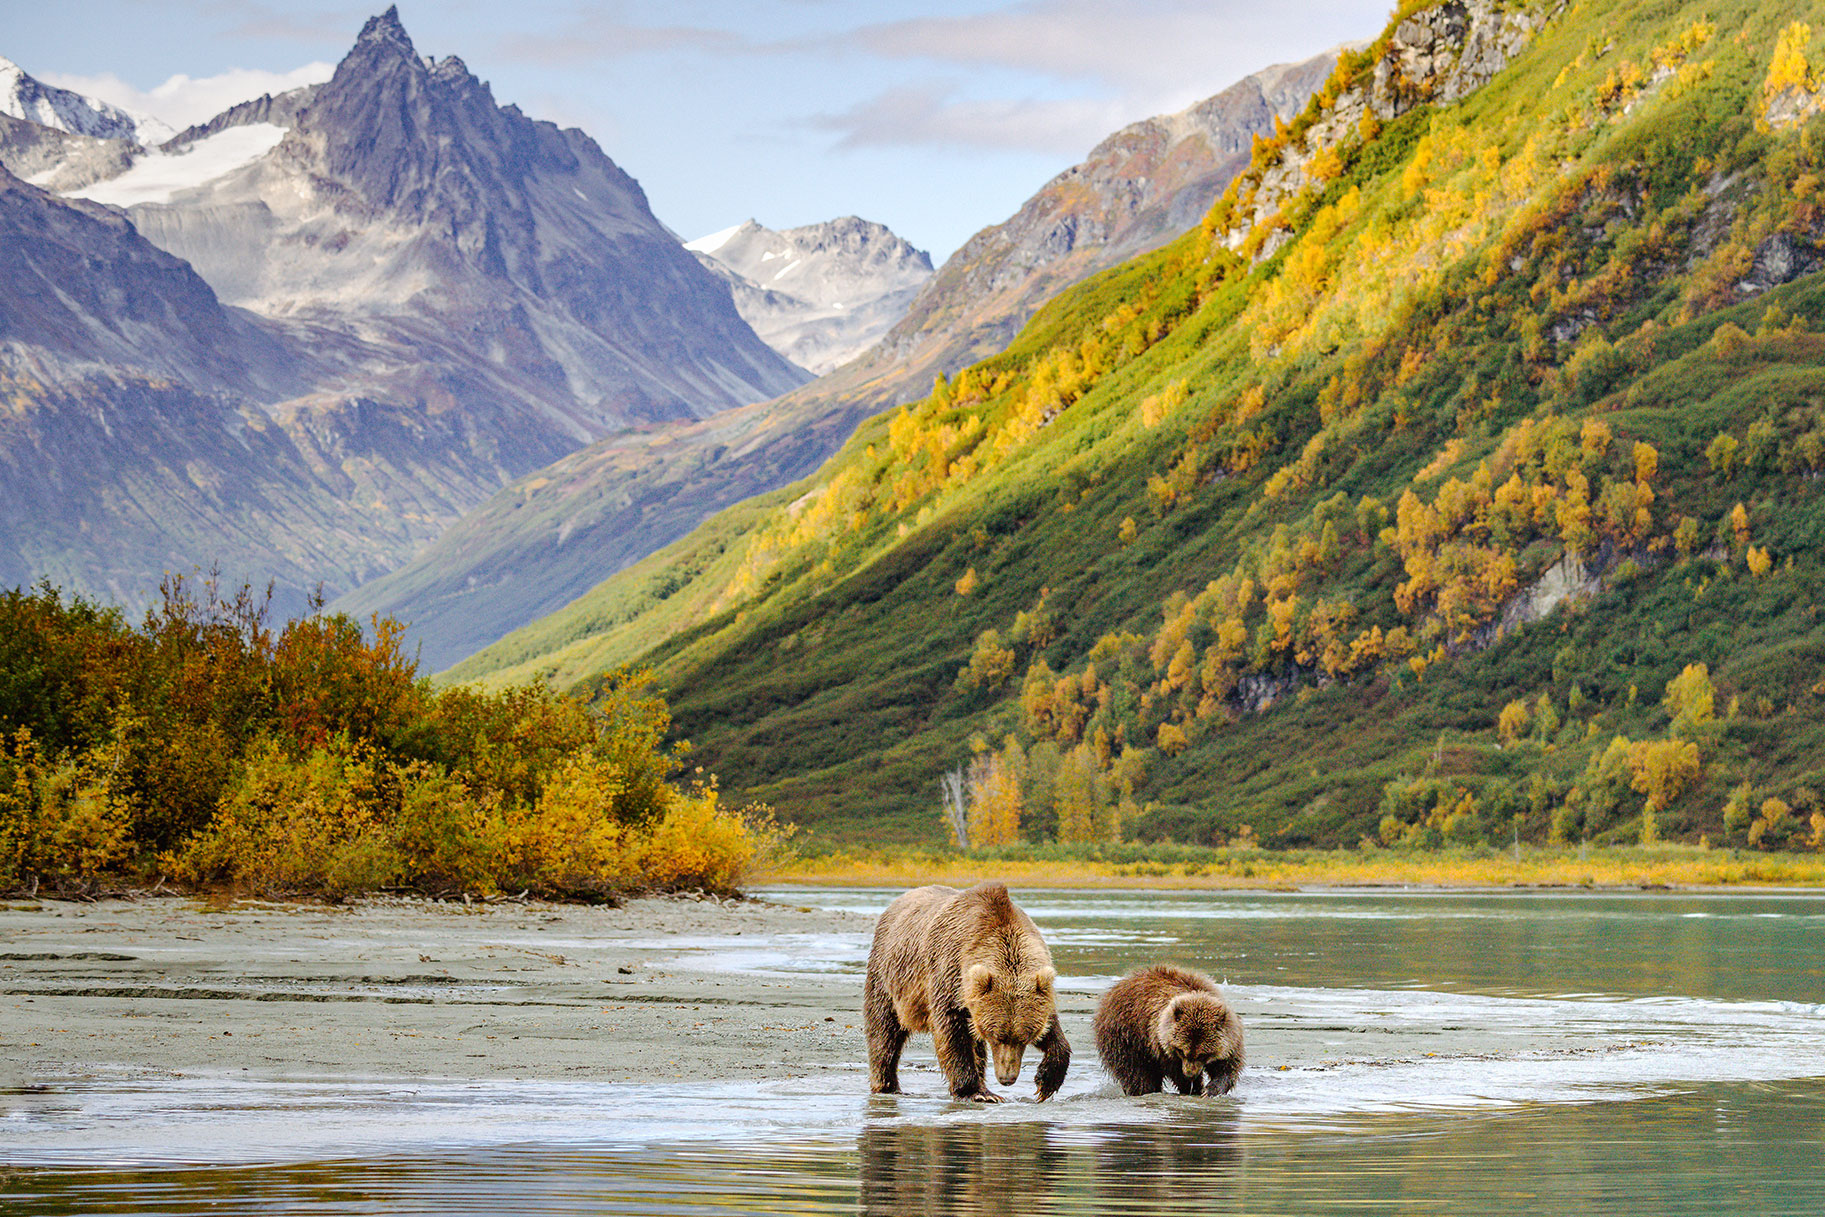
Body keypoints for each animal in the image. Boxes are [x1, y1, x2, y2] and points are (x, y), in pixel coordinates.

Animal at [865, 886, 1065, 1102]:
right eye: (995, 1036)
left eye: (1025, 1037)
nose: (1007, 1079)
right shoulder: (948, 976)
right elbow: (952, 1032)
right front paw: (975, 1092)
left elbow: (1052, 1029)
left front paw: (1046, 1082)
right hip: (887, 974)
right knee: (884, 1028)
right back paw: (887, 1085)